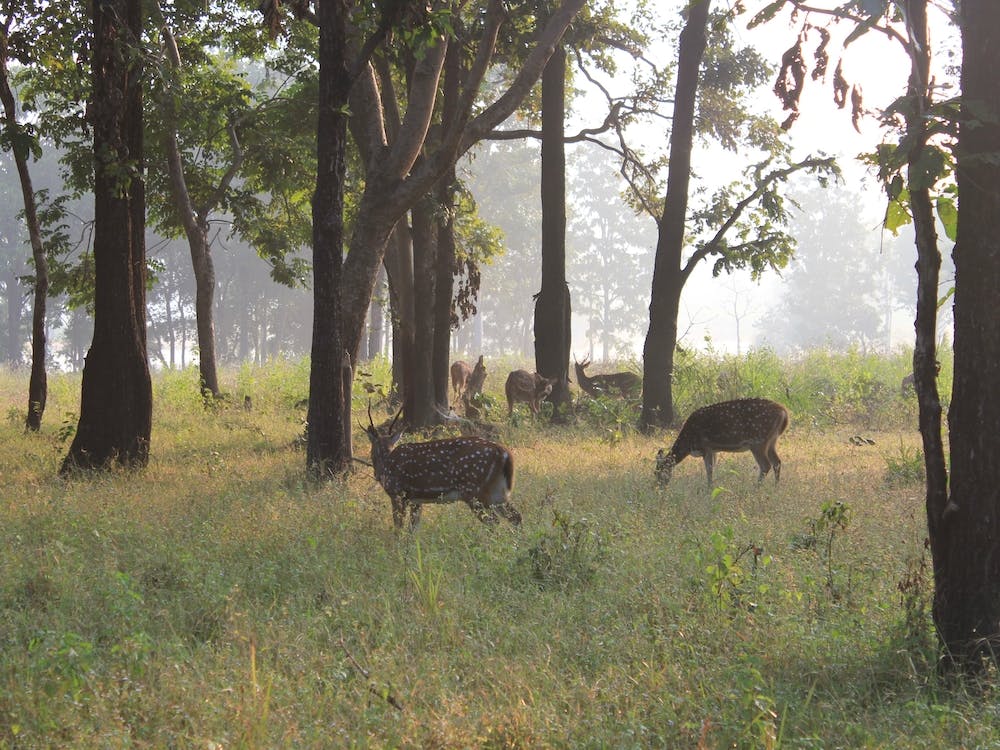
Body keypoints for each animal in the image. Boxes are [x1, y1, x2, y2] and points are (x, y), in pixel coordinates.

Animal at [364, 405, 521, 530]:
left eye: (372, 449)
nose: (377, 475)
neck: (386, 464)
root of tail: (504, 453)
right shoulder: (416, 500)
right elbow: (412, 530)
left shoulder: (397, 493)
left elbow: (398, 527)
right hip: (497, 490)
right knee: (516, 516)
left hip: (475, 491)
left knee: (494, 521)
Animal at [655, 398, 790, 489]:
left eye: (658, 473)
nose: (658, 488)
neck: (688, 443)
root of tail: (784, 413)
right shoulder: (713, 450)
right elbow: (712, 468)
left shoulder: (706, 447)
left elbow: (709, 470)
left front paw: (709, 489)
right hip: (771, 440)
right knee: (777, 462)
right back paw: (775, 487)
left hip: (758, 440)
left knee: (766, 465)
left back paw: (756, 488)